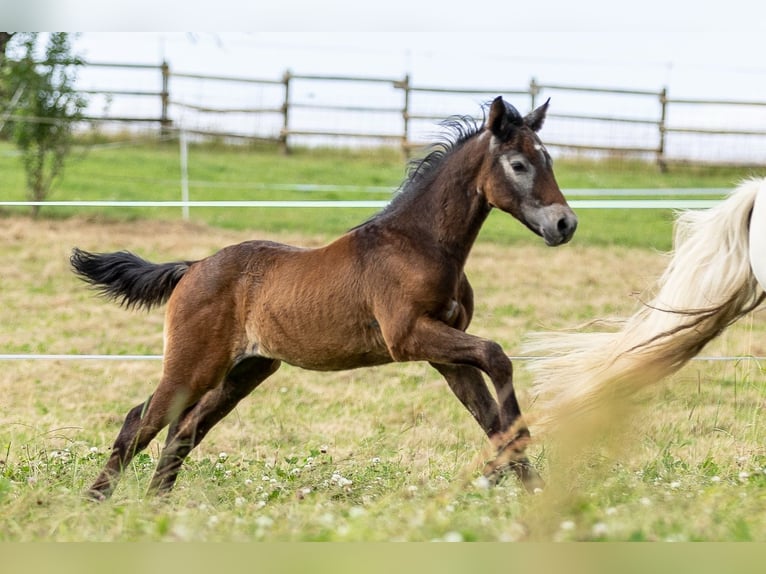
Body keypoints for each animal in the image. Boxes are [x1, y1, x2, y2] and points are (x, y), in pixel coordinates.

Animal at [72, 97, 580, 502]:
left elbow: (491, 418)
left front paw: (535, 494)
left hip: (243, 371)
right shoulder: (411, 338)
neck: (418, 244)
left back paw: (155, 504)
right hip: (194, 364)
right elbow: (498, 357)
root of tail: (193, 267)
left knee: (184, 431)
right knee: (141, 420)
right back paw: (96, 501)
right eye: (518, 165)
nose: (565, 224)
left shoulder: (446, 352)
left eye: (549, 160)